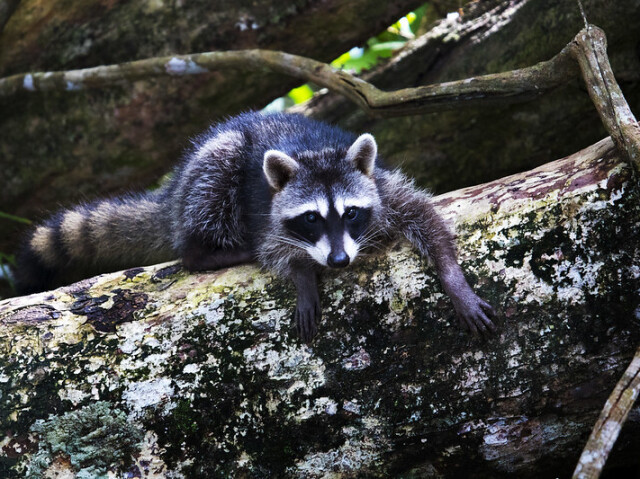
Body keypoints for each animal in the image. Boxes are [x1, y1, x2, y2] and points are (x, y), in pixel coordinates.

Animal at [13, 112, 496, 342]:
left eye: (351, 214)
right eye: (312, 218)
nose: (339, 261)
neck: (315, 151)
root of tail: (173, 190)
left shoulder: (381, 188)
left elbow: (425, 215)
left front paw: (454, 282)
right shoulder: (268, 217)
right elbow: (274, 251)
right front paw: (303, 276)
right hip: (209, 171)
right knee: (213, 181)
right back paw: (208, 251)